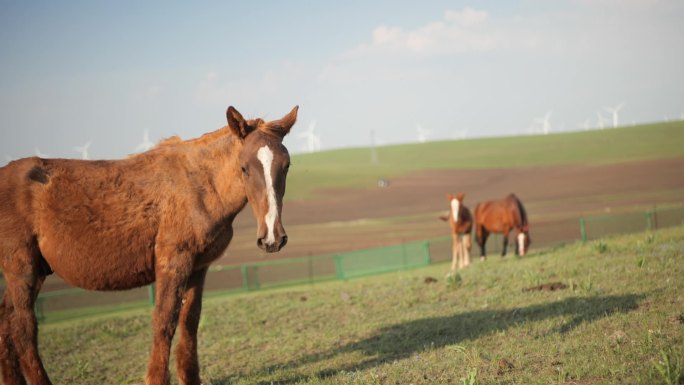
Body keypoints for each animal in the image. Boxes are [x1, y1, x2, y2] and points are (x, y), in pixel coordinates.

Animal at [0, 105, 300, 384]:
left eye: (286, 166)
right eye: (244, 168)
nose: (272, 238)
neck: (199, 187)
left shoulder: (198, 267)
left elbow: (189, 323)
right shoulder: (173, 261)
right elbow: (164, 321)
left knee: (6, 325)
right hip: (22, 270)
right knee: (23, 331)